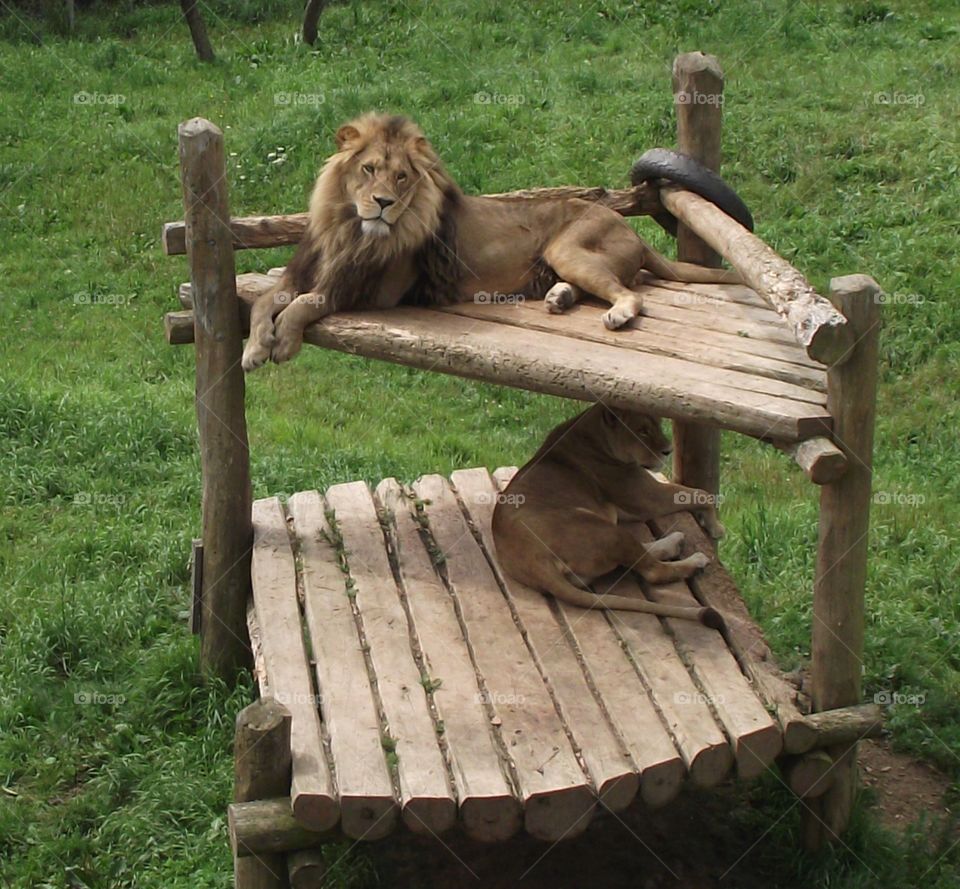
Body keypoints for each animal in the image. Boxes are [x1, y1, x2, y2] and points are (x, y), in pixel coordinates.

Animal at [241, 113, 739, 371]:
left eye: (401, 177)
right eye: (368, 169)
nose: (382, 203)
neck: (348, 227)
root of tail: (629, 227)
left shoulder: (373, 289)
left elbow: (305, 303)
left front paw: (282, 343)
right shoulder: (302, 271)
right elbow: (266, 300)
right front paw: (253, 348)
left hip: (569, 247)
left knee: (632, 295)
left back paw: (614, 313)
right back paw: (559, 297)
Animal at [492, 403, 726, 625]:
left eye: (659, 424)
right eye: (642, 431)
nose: (668, 450)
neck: (593, 432)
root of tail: (535, 563)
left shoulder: (625, 507)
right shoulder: (647, 497)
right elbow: (701, 494)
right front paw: (716, 527)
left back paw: (675, 541)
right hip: (607, 531)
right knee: (653, 570)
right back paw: (695, 560)